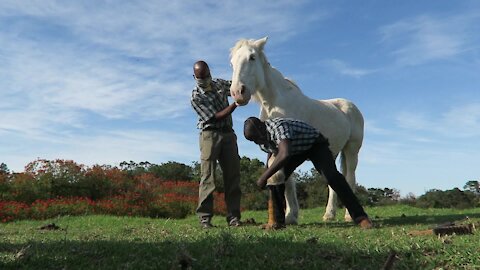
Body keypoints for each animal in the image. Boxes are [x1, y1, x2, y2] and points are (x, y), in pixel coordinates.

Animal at [229, 37, 364, 224]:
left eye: (252, 57)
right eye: (232, 63)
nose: (237, 93)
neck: (275, 103)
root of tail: (350, 106)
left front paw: (289, 216)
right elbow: (286, 181)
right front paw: (290, 216)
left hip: (352, 150)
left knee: (349, 177)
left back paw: (348, 216)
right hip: (333, 151)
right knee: (333, 181)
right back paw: (329, 215)